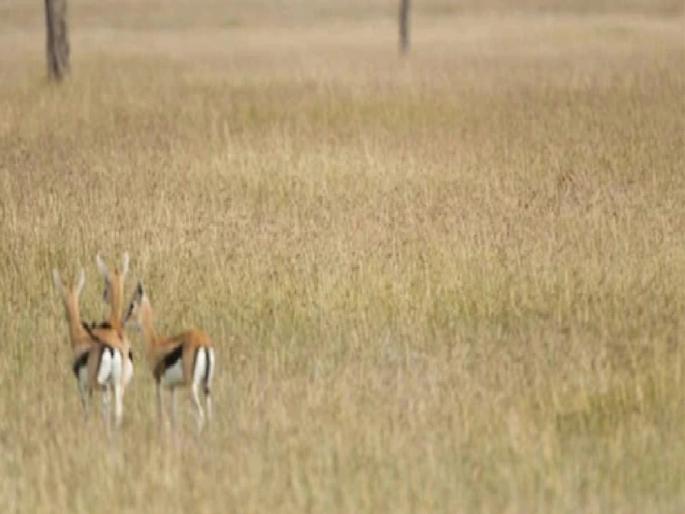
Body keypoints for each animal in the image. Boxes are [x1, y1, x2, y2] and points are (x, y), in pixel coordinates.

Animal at [124, 282, 215, 431]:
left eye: (131, 305)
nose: (123, 322)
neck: (155, 343)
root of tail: (203, 342)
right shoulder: (173, 388)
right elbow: (174, 417)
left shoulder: (158, 382)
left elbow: (161, 413)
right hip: (206, 384)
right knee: (210, 413)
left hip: (191, 385)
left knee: (200, 413)